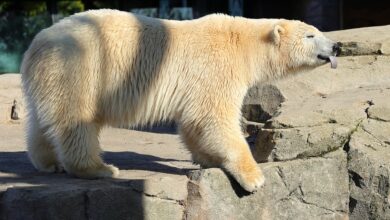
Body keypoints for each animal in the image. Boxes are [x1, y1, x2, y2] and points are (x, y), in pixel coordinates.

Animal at [20, 9, 338, 192]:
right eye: (311, 35)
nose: (336, 46)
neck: (244, 44)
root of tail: (36, 44)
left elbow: (194, 121)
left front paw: (206, 159)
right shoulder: (216, 66)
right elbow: (214, 117)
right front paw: (254, 177)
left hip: (52, 77)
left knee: (41, 121)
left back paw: (48, 163)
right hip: (81, 68)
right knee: (77, 121)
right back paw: (99, 168)